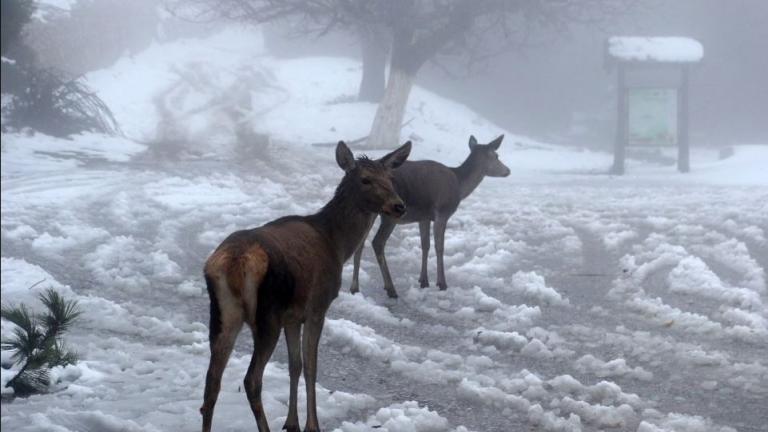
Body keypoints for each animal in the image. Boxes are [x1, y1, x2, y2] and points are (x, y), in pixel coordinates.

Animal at [201, 140, 412, 430]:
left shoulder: (292, 316)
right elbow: (312, 366)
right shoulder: (317, 306)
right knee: (251, 379)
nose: (399, 206)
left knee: (212, 381)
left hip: (224, 315)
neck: (337, 244)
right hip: (266, 316)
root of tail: (233, 263)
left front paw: (292, 422)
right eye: (365, 179)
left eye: (390, 178)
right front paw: (312, 424)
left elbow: (295, 365)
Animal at [350, 135, 510, 296]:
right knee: (377, 242)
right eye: (496, 156)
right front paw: (442, 283)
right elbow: (439, 246)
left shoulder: (424, 217)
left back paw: (355, 288)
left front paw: (423, 280)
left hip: (371, 212)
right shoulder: (442, 212)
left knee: (360, 243)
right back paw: (390, 288)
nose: (507, 171)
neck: (459, 185)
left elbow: (425, 245)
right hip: (390, 213)